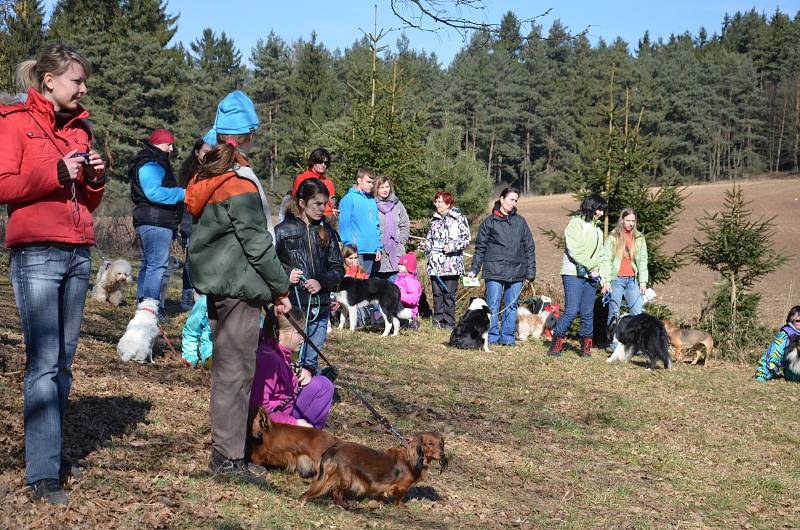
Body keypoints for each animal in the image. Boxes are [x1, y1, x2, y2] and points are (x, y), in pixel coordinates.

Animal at [302, 428, 446, 508]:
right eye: (429, 444)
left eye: (441, 444)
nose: (442, 454)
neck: (412, 460)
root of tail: (335, 448)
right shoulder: (401, 487)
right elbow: (398, 498)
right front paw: (400, 506)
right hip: (347, 478)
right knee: (336, 492)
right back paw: (344, 505)